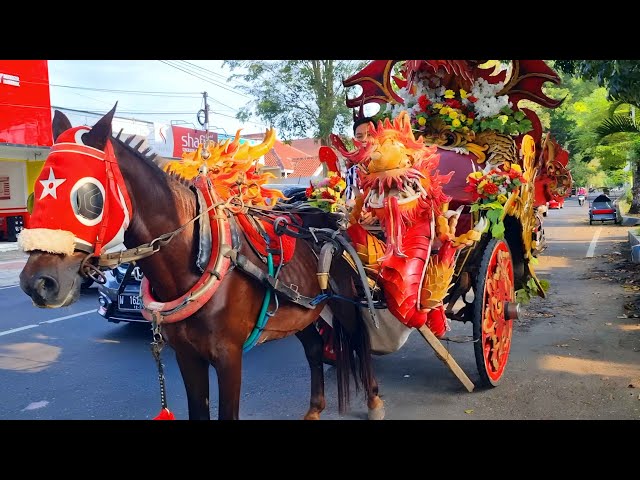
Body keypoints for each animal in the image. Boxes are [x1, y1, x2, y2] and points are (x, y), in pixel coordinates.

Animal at [17, 106, 384, 420]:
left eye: (88, 198)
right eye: (35, 192)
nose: (38, 283)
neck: (198, 258)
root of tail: (329, 219)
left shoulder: (229, 357)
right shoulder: (187, 356)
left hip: (345, 304)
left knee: (359, 345)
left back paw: (374, 400)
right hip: (301, 312)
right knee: (314, 349)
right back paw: (315, 408)